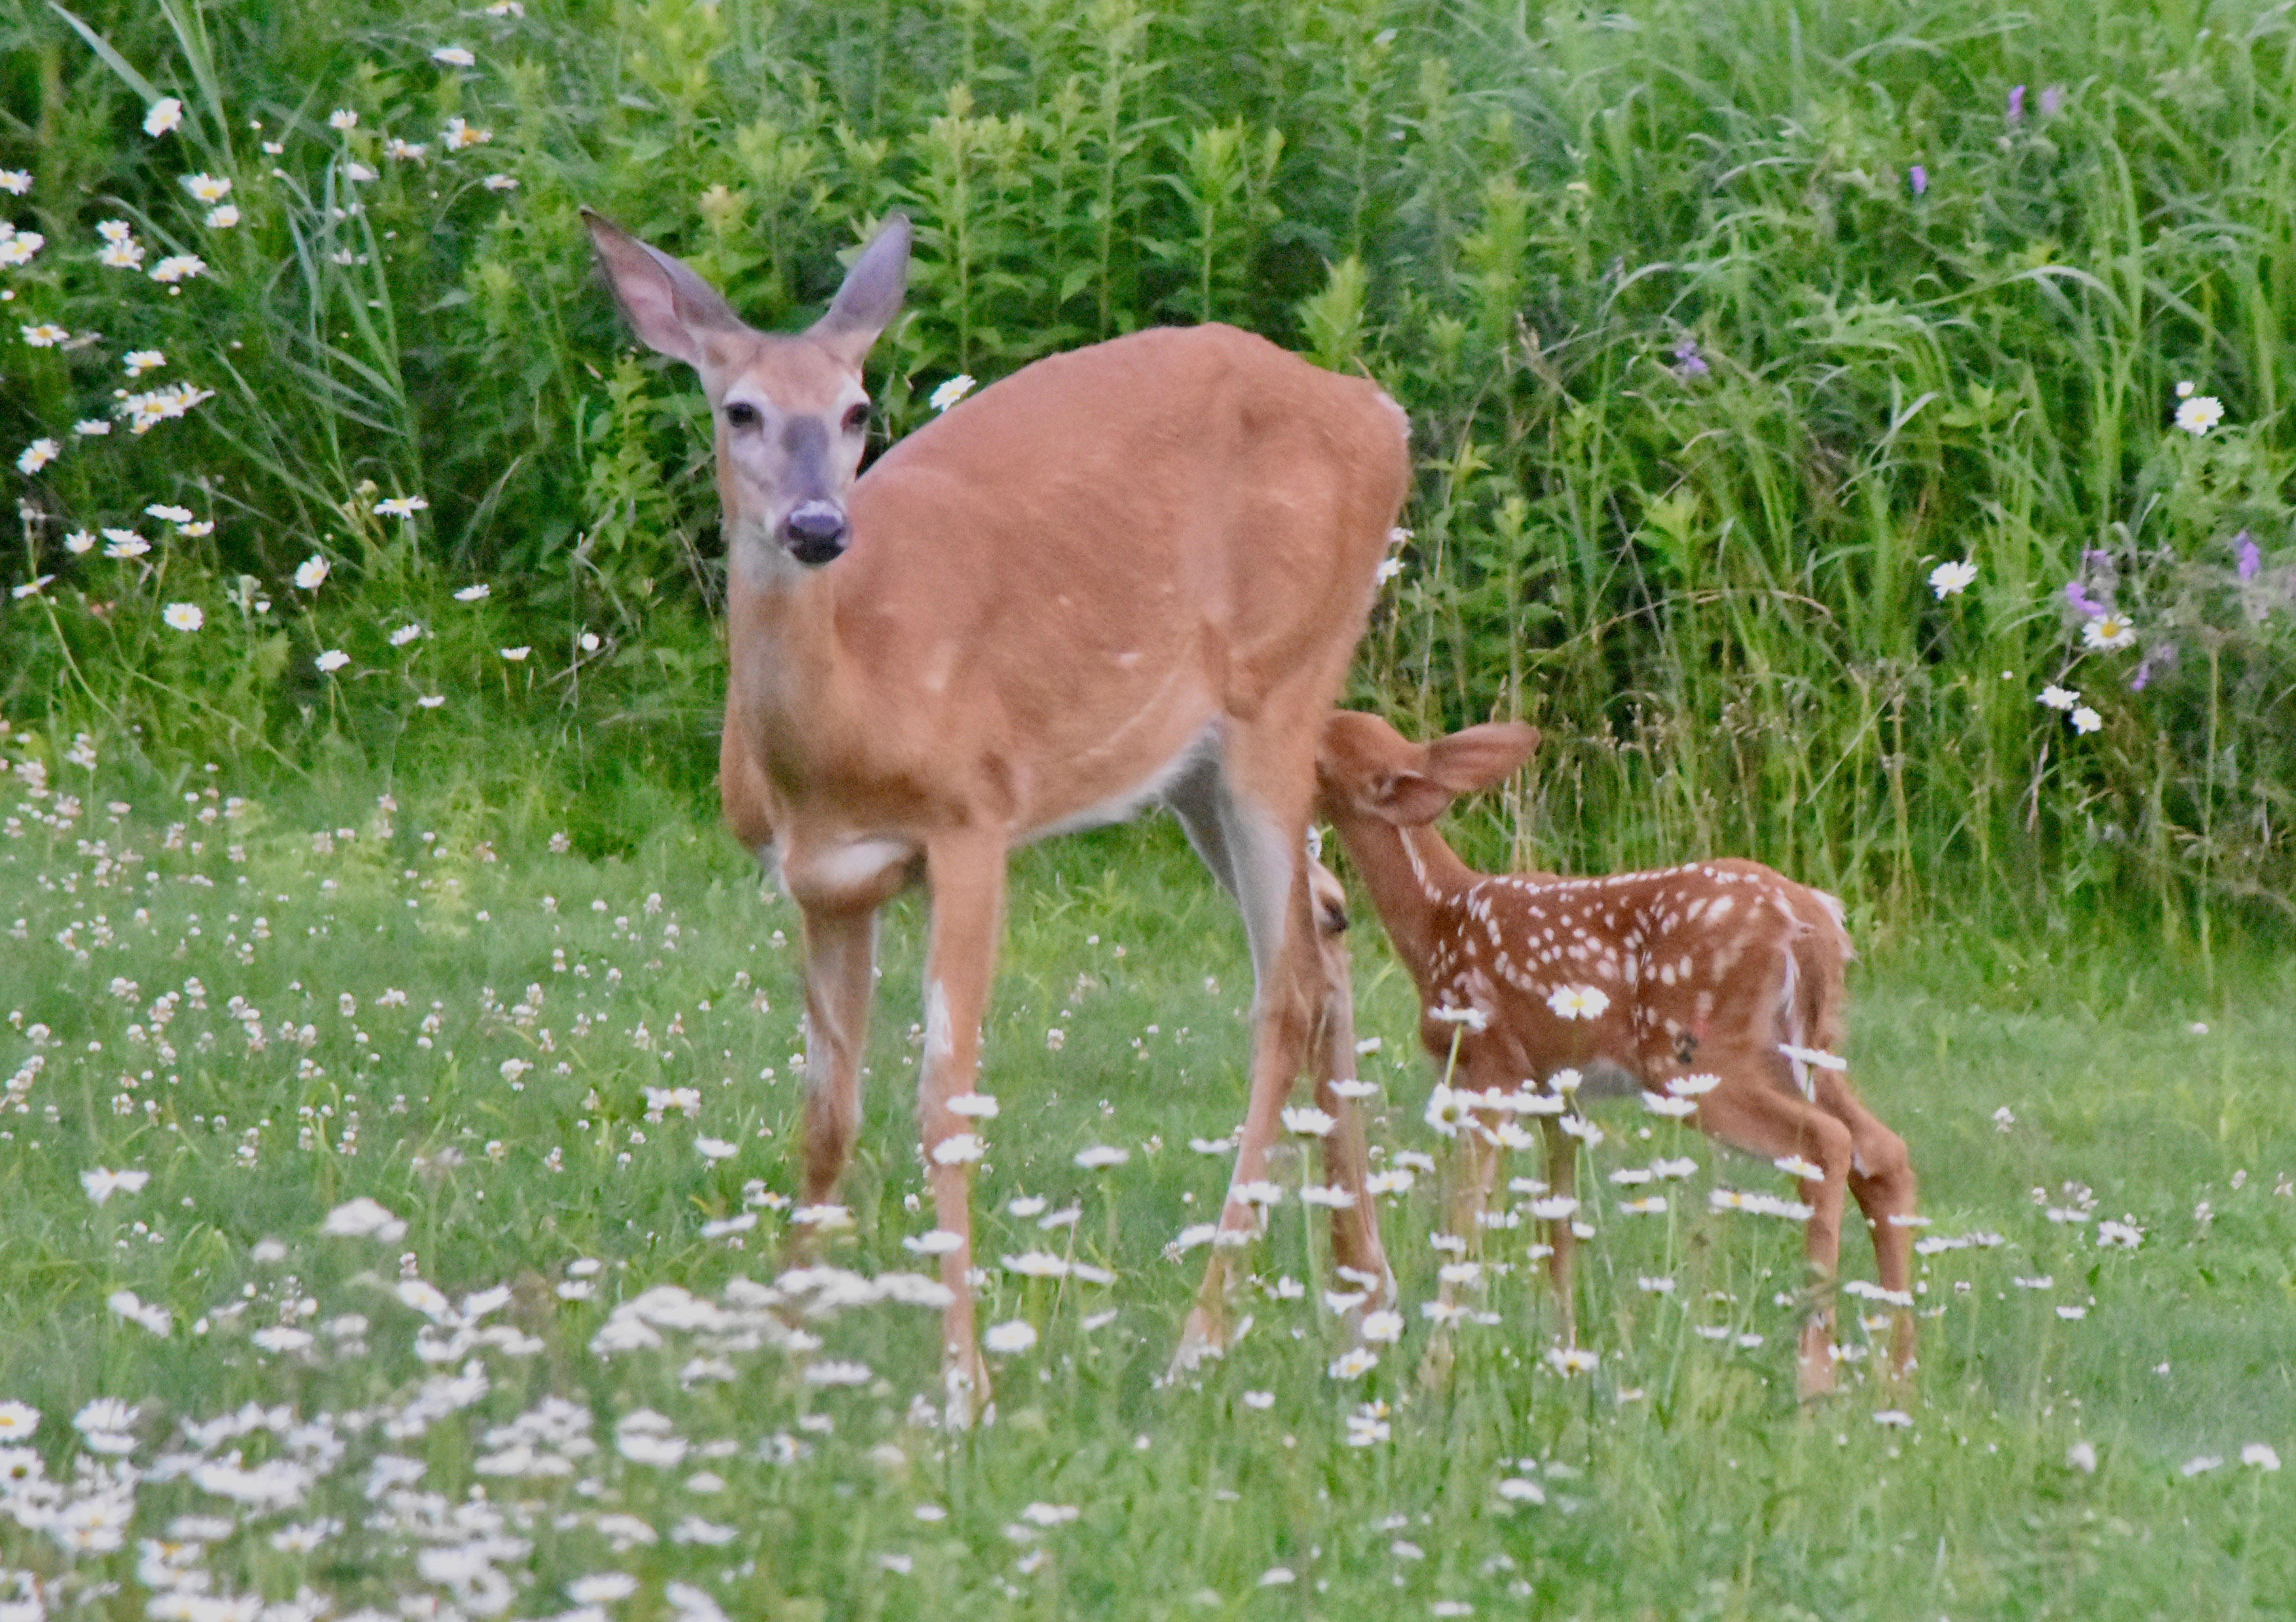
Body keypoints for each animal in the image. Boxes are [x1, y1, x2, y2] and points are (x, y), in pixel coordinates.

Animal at [583, 209, 1405, 1406]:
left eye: (857, 408)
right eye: (740, 410)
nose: (819, 526)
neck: (842, 732)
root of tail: (1381, 412)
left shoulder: (974, 820)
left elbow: (946, 1107)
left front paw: (964, 1379)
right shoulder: (824, 883)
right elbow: (825, 1116)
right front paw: (782, 1353)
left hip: (1281, 687)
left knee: (1286, 989)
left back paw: (1200, 1338)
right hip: (1193, 766)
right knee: (1331, 920)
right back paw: (1369, 1303)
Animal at [1313, 707, 1919, 1387]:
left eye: (1321, 745)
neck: (1438, 916)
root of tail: (1813, 924)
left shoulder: (1489, 1062)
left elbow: (1465, 1216)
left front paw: (1434, 1373)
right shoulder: (1555, 1085)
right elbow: (1558, 1224)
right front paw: (1564, 1355)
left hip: (1696, 1057)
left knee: (1827, 1143)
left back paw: (1815, 1377)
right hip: (1809, 1050)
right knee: (1882, 1150)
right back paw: (1898, 1378)